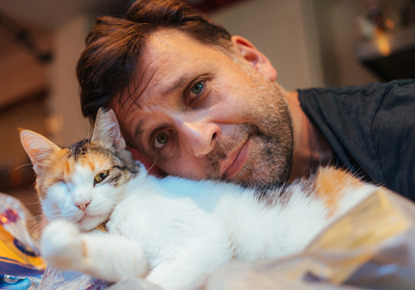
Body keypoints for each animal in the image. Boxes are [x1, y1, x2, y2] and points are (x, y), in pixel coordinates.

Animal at [20, 109, 380, 290]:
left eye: (101, 177)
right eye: (64, 185)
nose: (81, 203)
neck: (116, 216)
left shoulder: (204, 242)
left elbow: (158, 283)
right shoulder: (134, 256)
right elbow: (118, 259)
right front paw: (60, 241)